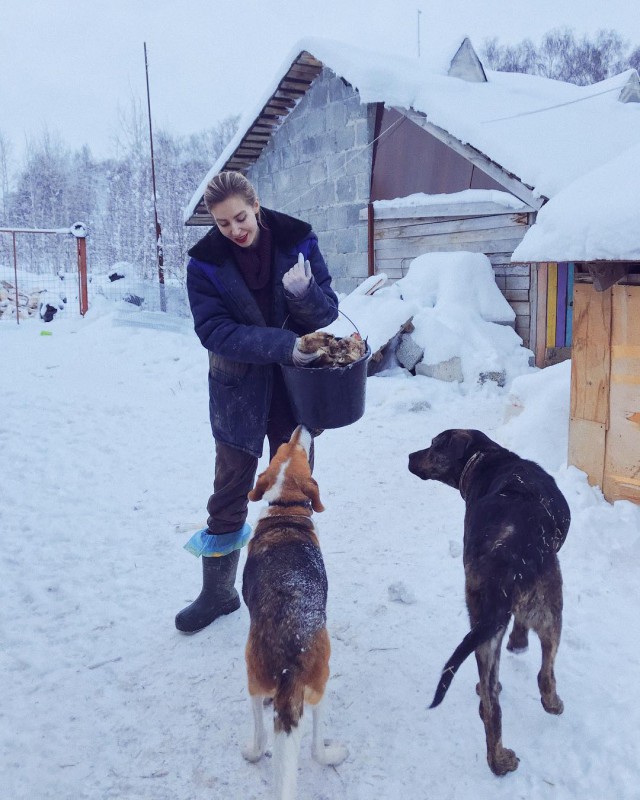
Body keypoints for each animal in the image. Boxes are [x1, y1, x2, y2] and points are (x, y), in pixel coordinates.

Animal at [242, 428, 348, 796]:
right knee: (312, 748)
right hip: (320, 687)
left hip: (254, 681)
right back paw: (333, 754)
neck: (285, 507)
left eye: (284, 450)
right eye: (296, 449)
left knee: (262, 739)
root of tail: (291, 655)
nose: (303, 426)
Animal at [408, 432, 572, 776]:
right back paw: (553, 704)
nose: (409, 456)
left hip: (484, 628)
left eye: (434, 445)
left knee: (489, 701)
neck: (487, 458)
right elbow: (523, 630)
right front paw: (519, 642)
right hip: (552, 608)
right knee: (545, 674)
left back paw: (497, 761)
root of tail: (505, 561)